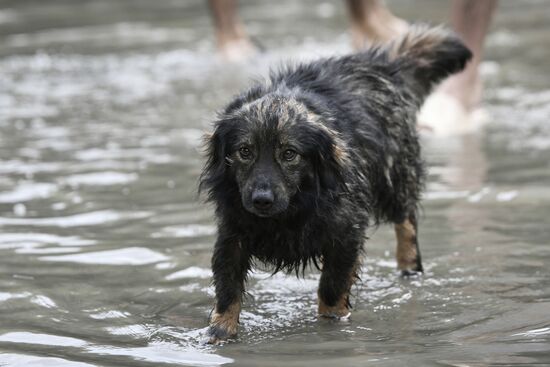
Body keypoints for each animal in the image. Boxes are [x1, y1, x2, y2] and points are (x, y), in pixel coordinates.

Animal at [201, 26, 472, 344]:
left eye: (289, 154)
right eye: (245, 151)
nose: (261, 199)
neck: (290, 211)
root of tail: (381, 66)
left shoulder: (346, 232)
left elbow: (331, 288)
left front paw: (332, 325)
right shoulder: (232, 232)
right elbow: (227, 288)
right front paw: (220, 331)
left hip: (395, 179)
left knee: (406, 223)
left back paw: (410, 267)